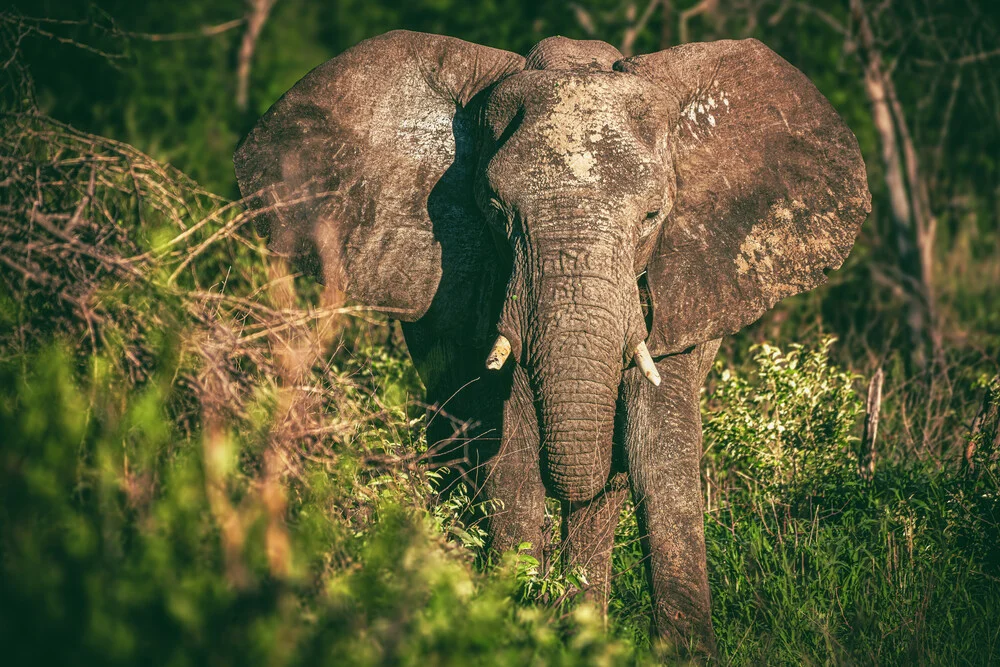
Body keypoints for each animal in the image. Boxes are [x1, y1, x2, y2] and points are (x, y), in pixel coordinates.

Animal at [232, 30, 868, 656]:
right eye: (496, 212)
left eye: (653, 216)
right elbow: (509, 450)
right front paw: (510, 624)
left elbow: (658, 453)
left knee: (607, 490)